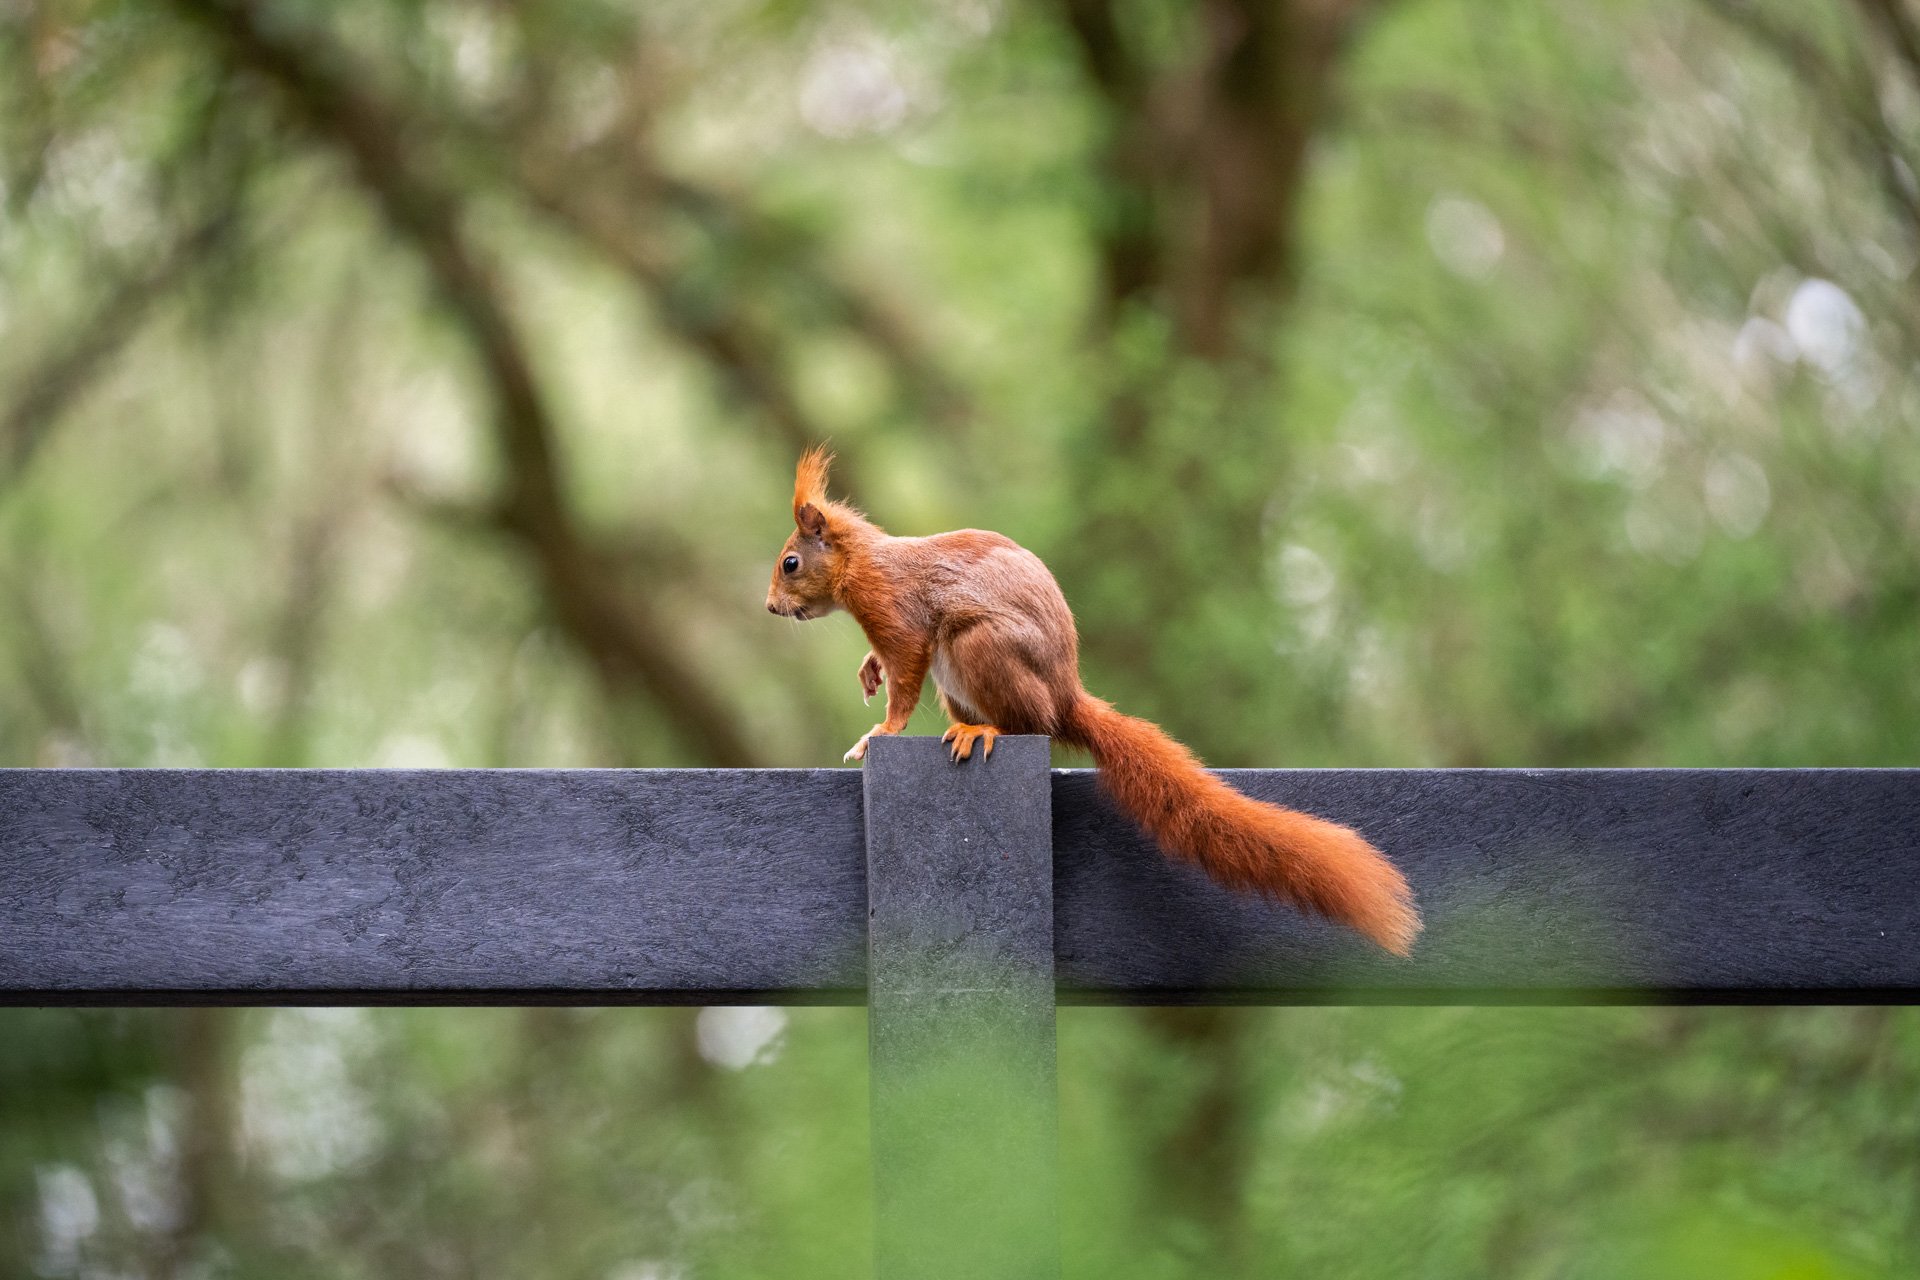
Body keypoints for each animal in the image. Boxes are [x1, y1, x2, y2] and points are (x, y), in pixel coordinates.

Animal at [765, 448, 1421, 955]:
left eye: (790, 563)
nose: (771, 608)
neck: (861, 562)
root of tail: (1065, 696)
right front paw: (867, 670)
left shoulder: (897, 614)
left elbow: (903, 679)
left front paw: (881, 733)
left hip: (980, 648)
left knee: (1030, 725)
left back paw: (987, 733)